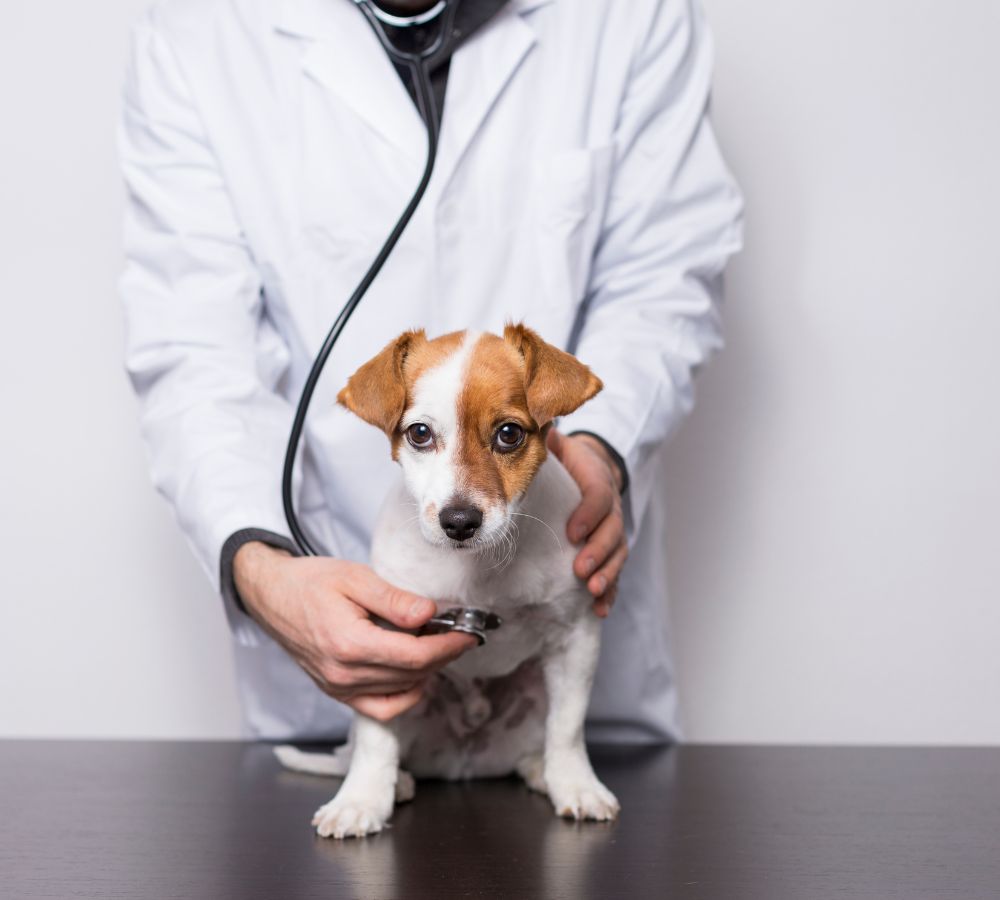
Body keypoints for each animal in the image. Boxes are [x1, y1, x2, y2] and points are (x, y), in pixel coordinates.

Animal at [274, 322, 616, 836]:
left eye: (509, 434)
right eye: (420, 433)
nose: (459, 521)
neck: (477, 570)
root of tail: (463, 761)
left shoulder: (576, 638)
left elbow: (568, 727)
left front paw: (576, 785)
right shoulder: (384, 644)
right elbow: (376, 738)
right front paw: (361, 799)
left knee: (541, 738)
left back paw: (541, 770)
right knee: (370, 748)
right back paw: (395, 782)